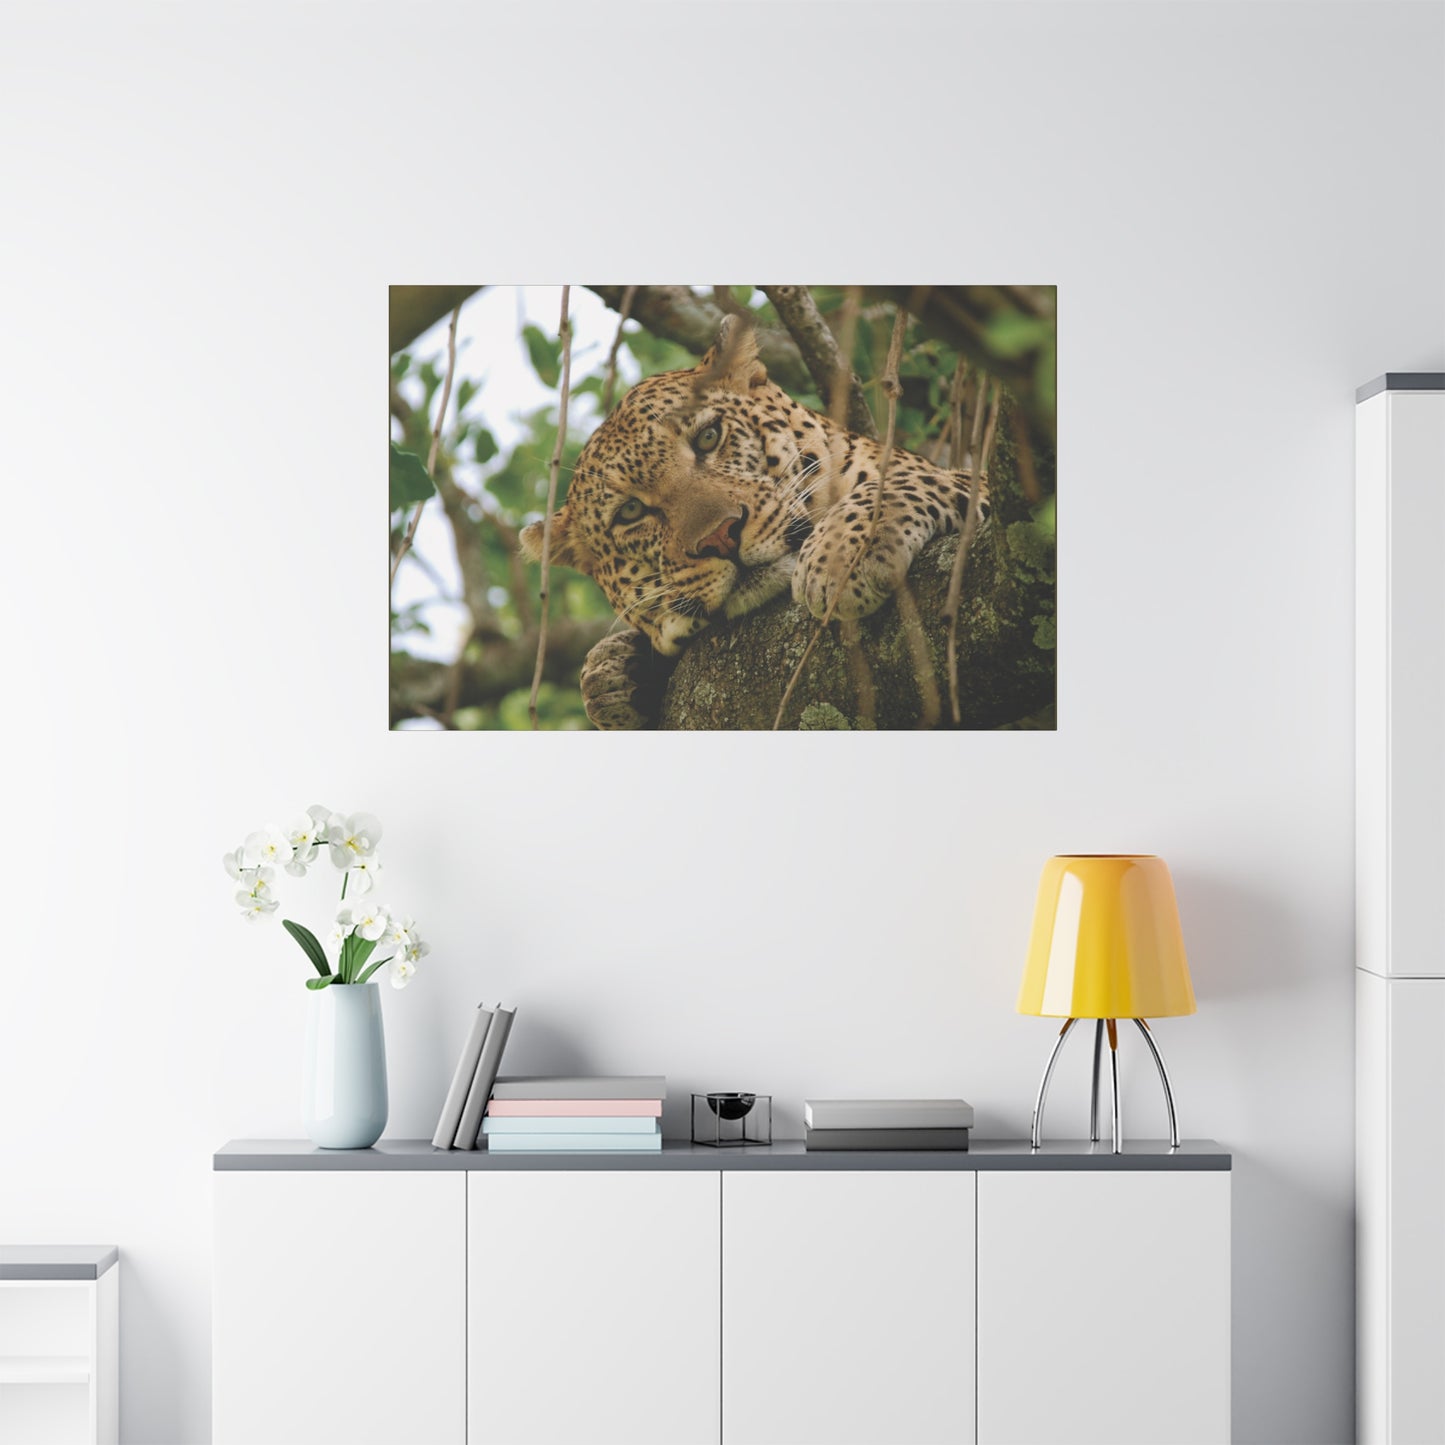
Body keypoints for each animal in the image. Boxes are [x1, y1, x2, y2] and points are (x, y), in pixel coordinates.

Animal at [519, 319, 990, 729]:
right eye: (630, 512)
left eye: (709, 437)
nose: (720, 537)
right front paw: (613, 675)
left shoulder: (981, 483)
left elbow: (901, 481)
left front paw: (839, 558)